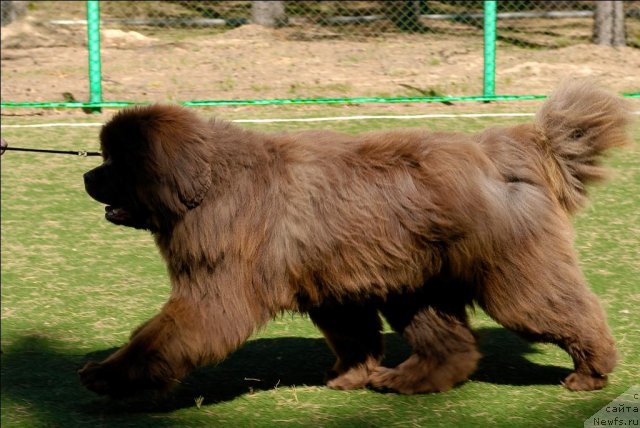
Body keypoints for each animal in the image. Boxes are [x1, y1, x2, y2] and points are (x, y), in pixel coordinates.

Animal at [80, 81, 632, 398]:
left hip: (511, 274)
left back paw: (591, 371)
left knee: (562, 309)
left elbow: (165, 336)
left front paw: (108, 375)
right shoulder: (331, 285)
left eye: (115, 163)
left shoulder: (217, 288)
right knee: (450, 343)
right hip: (417, 283)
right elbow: (352, 334)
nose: (86, 176)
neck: (208, 185)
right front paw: (350, 376)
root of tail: (513, 148)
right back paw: (408, 381)